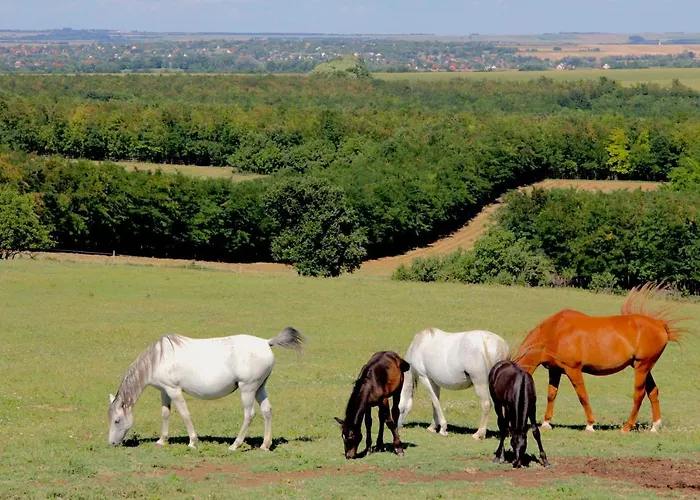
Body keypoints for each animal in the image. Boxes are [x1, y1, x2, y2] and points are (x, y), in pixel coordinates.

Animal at [107, 327, 305, 450]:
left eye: (116, 420)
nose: (111, 444)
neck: (158, 358)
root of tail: (266, 342)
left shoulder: (174, 390)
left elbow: (184, 414)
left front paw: (193, 442)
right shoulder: (165, 391)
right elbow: (165, 413)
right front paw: (162, 440)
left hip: (247, 389)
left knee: (249, 414)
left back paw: (235, 445)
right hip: (260, 388)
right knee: (267, 411)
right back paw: (265, 445)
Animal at [514, 282, 686, 433]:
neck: (554, 331)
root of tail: (659, 324)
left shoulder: (573, 370)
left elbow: (582, 396)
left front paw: (590, 425)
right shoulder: (555, 370)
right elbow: (551, 395)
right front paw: (546, 423)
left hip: (642, 367)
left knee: (639, 394)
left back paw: (626, 428)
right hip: (644, 367)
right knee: (653, 392)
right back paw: (655, 427)